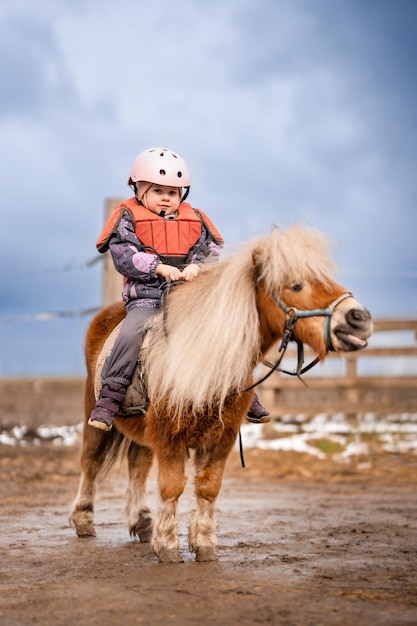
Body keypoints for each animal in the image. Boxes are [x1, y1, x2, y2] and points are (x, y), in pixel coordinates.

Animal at [70, 223, 372, 560]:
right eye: (296, 285)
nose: (358, 319)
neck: (206, 356)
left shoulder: (222, 435)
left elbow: (208, 486)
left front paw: (203, 542)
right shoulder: (168, 433)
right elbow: (171, 486)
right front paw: (168, 544)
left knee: (137, 465)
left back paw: (142, 521)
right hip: (95, 414)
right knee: (91, 462)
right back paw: (84, 520)